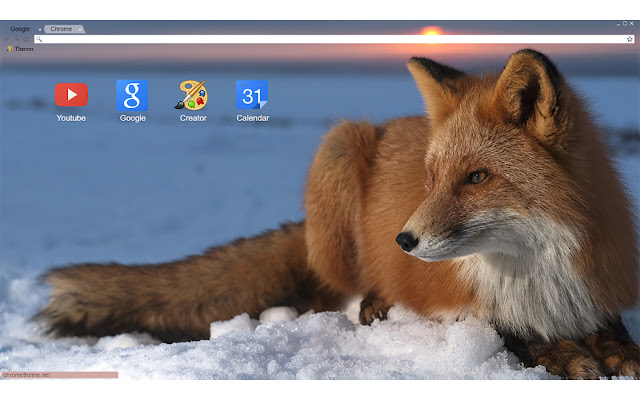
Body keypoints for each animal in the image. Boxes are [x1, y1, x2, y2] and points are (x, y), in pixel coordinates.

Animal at [36, 49, 639, 379]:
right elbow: (517, 335)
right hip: (339, 149)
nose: (404, 241)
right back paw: (374, 300)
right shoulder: (462, 309)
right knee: (342, 286)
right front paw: (566, 356)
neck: (537, 272)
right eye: (432, 178)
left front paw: (618, 355)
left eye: (477, 177)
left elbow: (615, 333)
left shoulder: (595, 287)